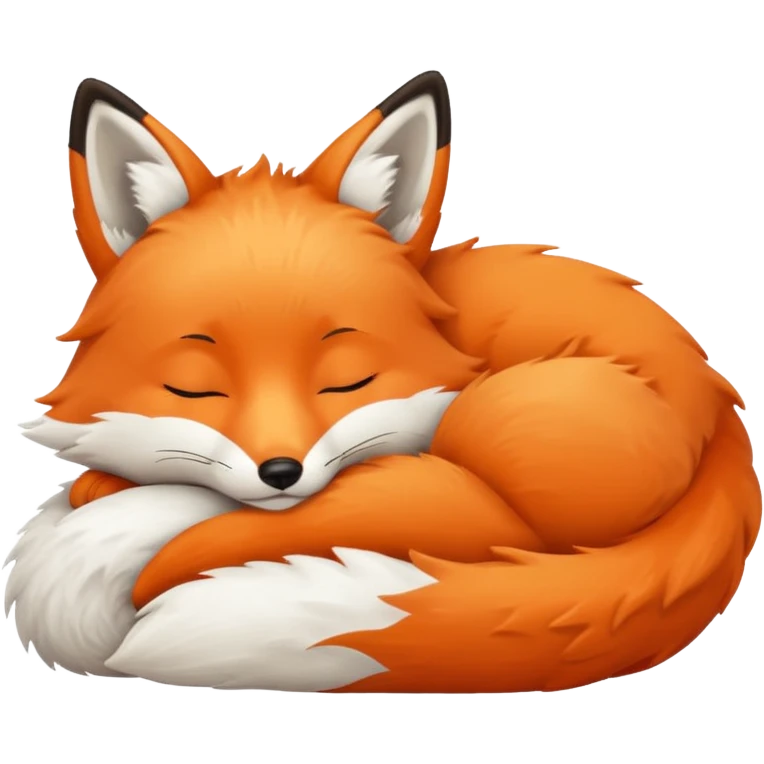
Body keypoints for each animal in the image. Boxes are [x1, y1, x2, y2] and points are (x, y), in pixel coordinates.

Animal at [4, 71, 760, 693]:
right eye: (195, 387)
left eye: (347, 381)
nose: (281, 472)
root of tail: (721, 414)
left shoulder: (461, 501)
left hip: (507, 420)